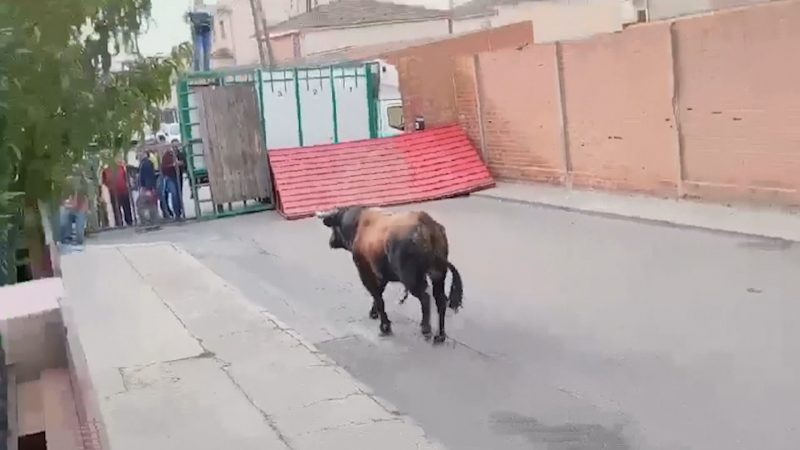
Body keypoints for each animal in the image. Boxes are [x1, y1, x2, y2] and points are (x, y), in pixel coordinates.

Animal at [314, 207, 462, 344]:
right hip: (438, 274)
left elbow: (377, 296)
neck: (357, 224)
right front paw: (374, 313)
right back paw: (440, 335)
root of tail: (426, 222)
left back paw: (426, 329)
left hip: (411, 277)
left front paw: (385, 326)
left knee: (425, 297)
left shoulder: (365, 270)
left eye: (334, 226)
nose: (331, 242)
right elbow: (379, 294)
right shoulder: (381, 273)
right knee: (441, 300)